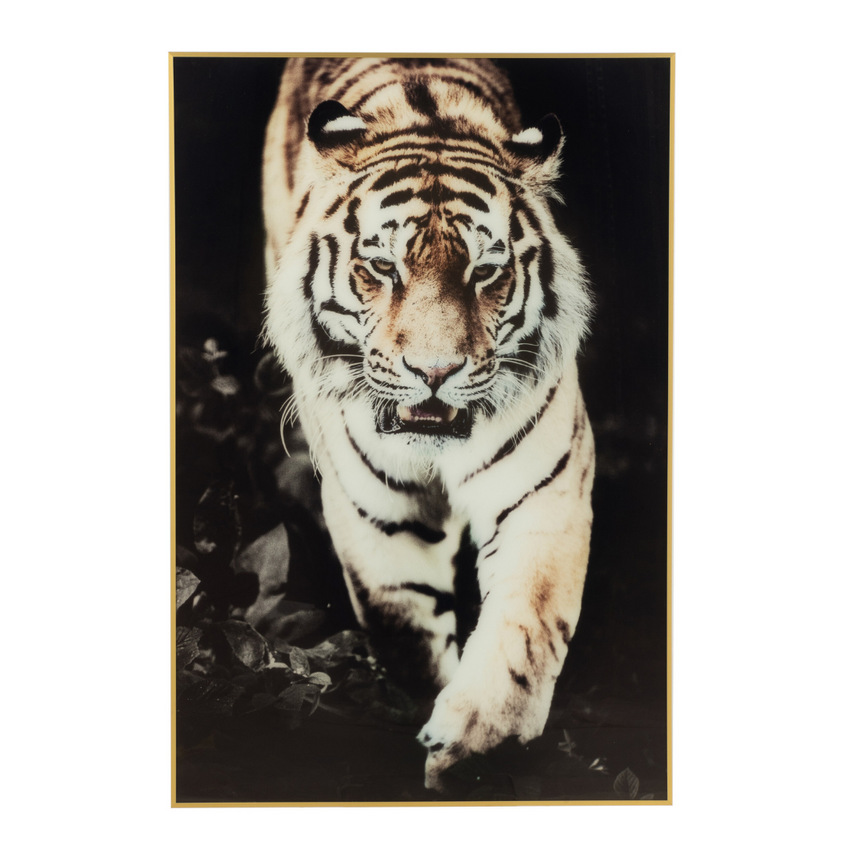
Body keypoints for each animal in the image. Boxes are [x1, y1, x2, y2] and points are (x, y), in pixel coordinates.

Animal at [262, 57, 595, 791]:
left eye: (487, 270)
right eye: (383, 267)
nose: (435, 371)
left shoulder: (544, 493)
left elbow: (525, 624)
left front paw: (479, 743)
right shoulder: (378, 517)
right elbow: (407, 635)